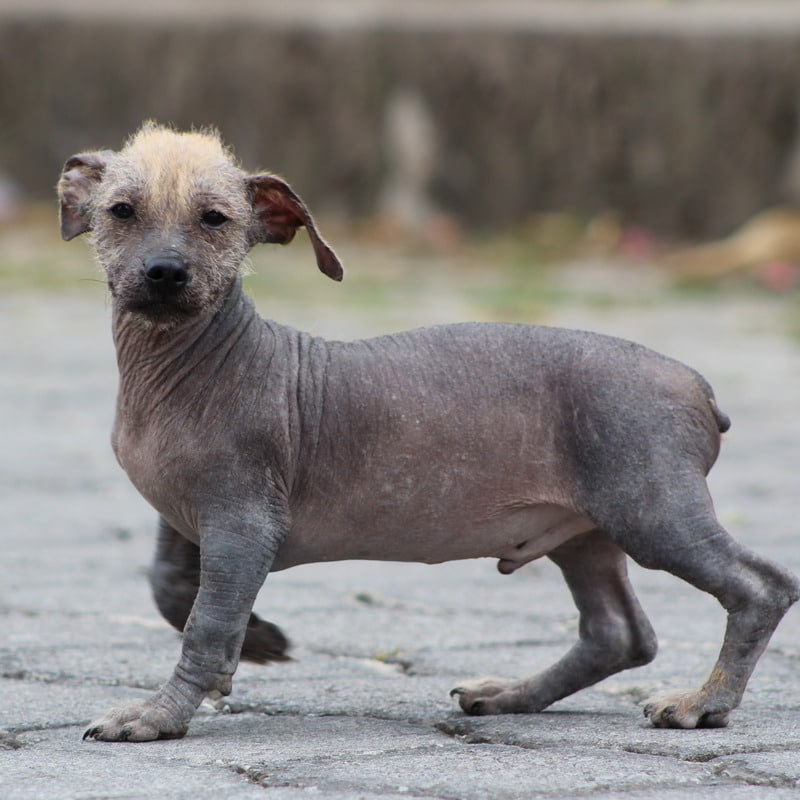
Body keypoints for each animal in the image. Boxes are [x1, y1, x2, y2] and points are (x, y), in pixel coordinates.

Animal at [57, 122, 800, 740]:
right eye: (122, 212)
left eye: (214, 220)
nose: (164, 272)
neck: (181, 362)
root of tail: (696, 384)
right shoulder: (188, 515)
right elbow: (169, 586)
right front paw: (261, 638)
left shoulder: (242, 524)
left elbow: (205, 627)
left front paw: (159, 715)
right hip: (585, 531)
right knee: (618, 633)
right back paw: (511, 695)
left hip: (652, 507)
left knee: (759, 587)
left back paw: (704, 703)